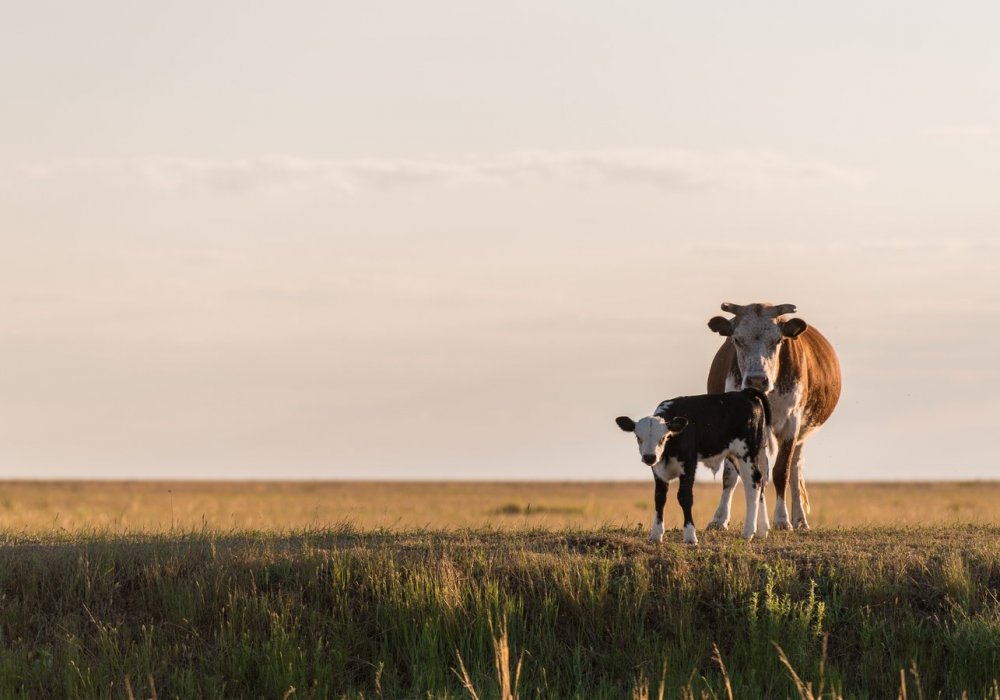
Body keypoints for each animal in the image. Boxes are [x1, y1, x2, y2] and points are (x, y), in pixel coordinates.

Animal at [616, 388, 772, 548]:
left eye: (663, 437)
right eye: (638, 437)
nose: (649, 457)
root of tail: (744, 393)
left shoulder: (689, 464)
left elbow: (684, 497)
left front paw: (690, 536)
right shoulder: (658, 470)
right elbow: (659, 498)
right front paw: (656, 534)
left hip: (747, 452)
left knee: (753, 483)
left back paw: (748, 532)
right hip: (735, 455)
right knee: (757, 480)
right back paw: (761, 530)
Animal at [708, 300, 840, 532]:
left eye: (778, 340)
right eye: (737, 340)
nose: (757, 380)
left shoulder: (791, 425)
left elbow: (782, 472)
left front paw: (782, 519)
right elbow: (732, 475)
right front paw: (720, 519)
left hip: (801, 435)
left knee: (795, 470)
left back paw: (799, 520)